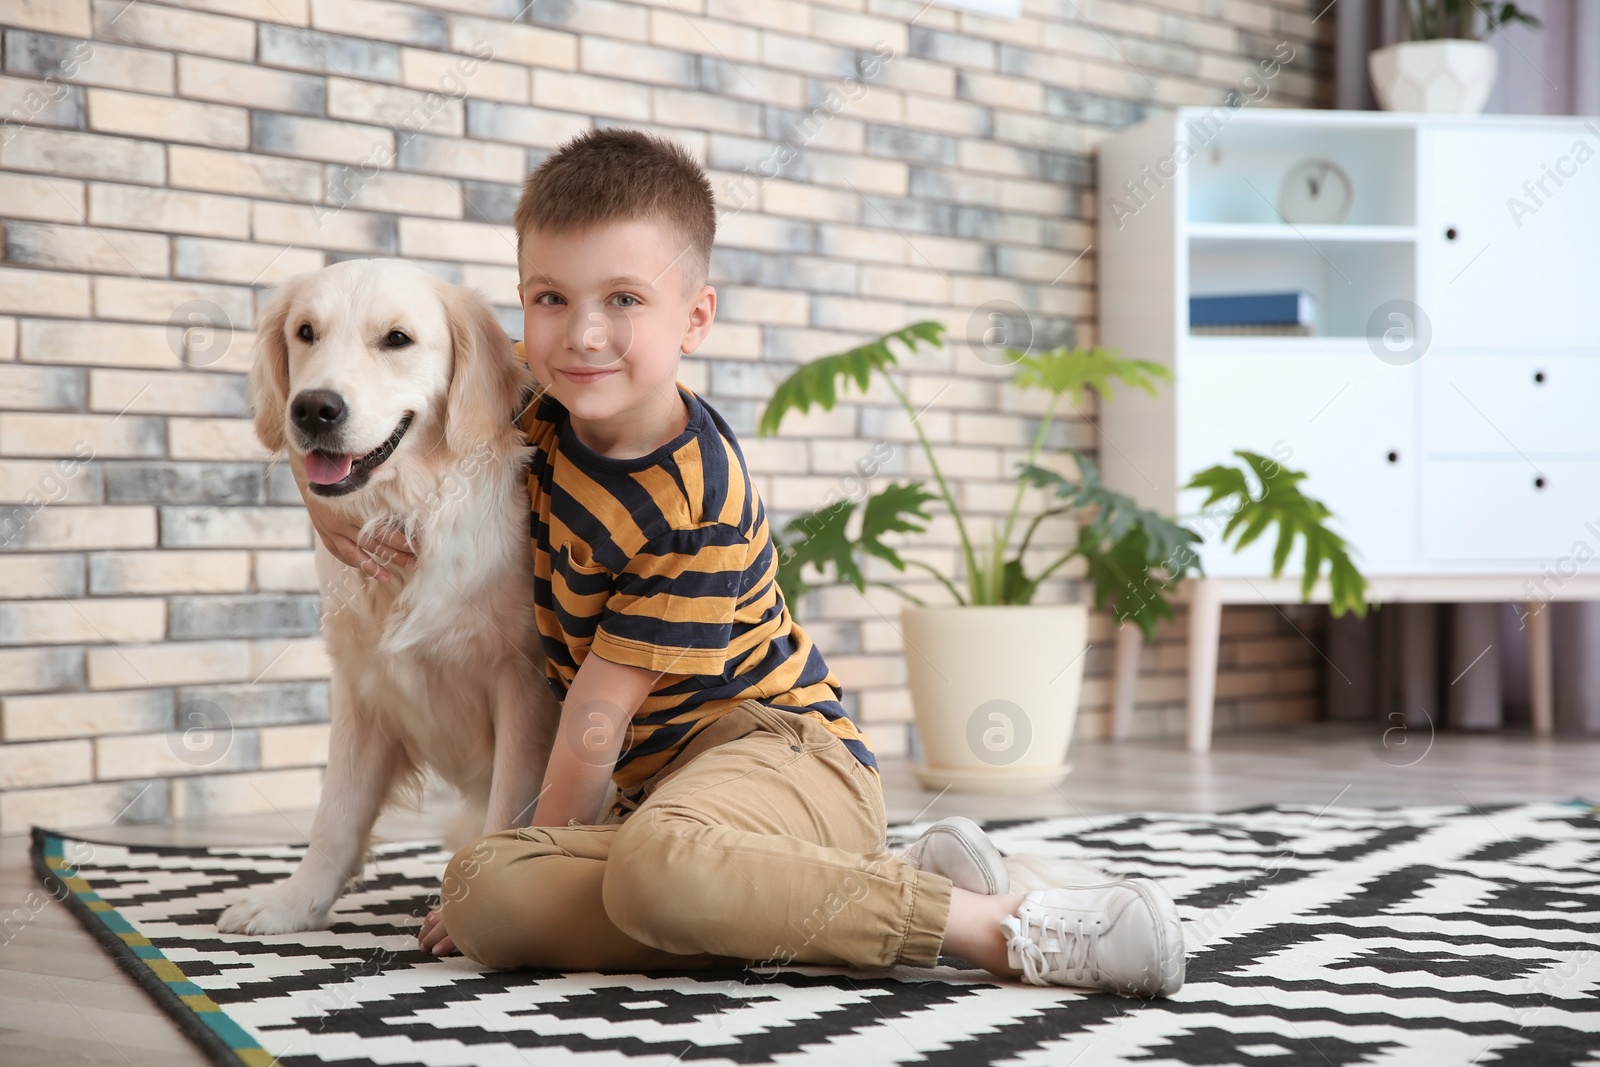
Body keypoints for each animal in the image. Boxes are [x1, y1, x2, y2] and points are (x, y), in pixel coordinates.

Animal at [216, 259, 560, 934]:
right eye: (305, 332)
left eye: (397, 339)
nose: (313, 409)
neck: (410, 514)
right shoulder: (363, 684)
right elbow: (336, 814)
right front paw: (294, 903)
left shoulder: (525, 684)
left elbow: (508, 809)